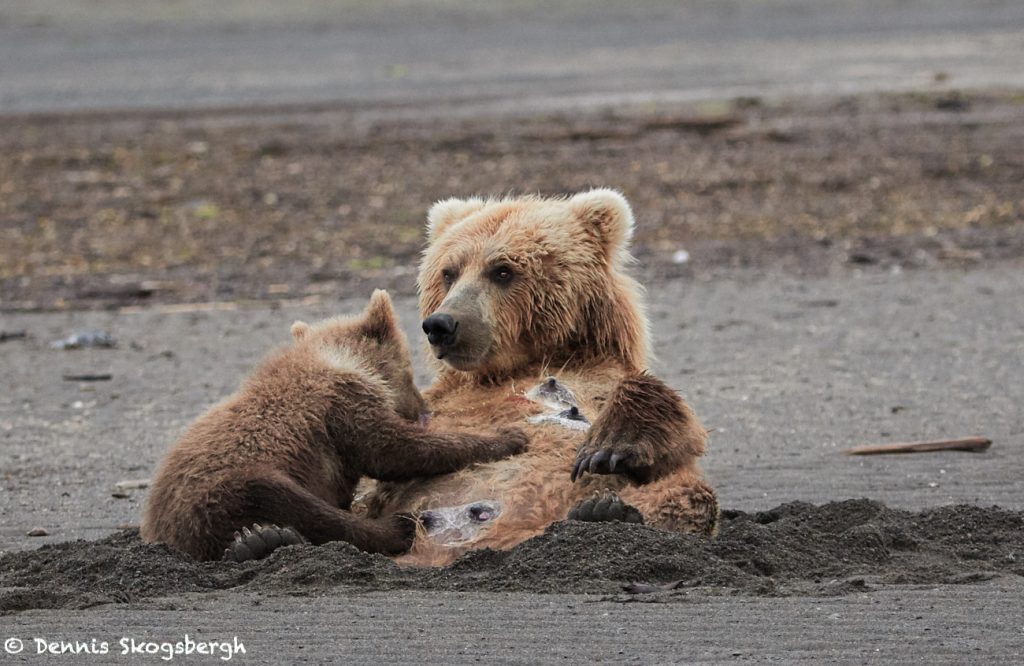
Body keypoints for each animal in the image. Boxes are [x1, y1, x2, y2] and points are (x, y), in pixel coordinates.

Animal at [140, 289, 528, 561]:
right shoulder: (341, 405)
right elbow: (392, 450)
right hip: (221, 494)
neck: (342, 361)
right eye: (409, 369)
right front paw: (508, 437)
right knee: (291, 502)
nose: (422, 410)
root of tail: (162, 531)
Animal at [356, 189, 719, 566]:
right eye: (449, 272)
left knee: (688, 495)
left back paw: (604, 512)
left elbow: (673, 434)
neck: (514, 368)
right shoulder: (432, 401)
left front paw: (608, 447)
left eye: (502, 270)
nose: (441, 324)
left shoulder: (601, 376)